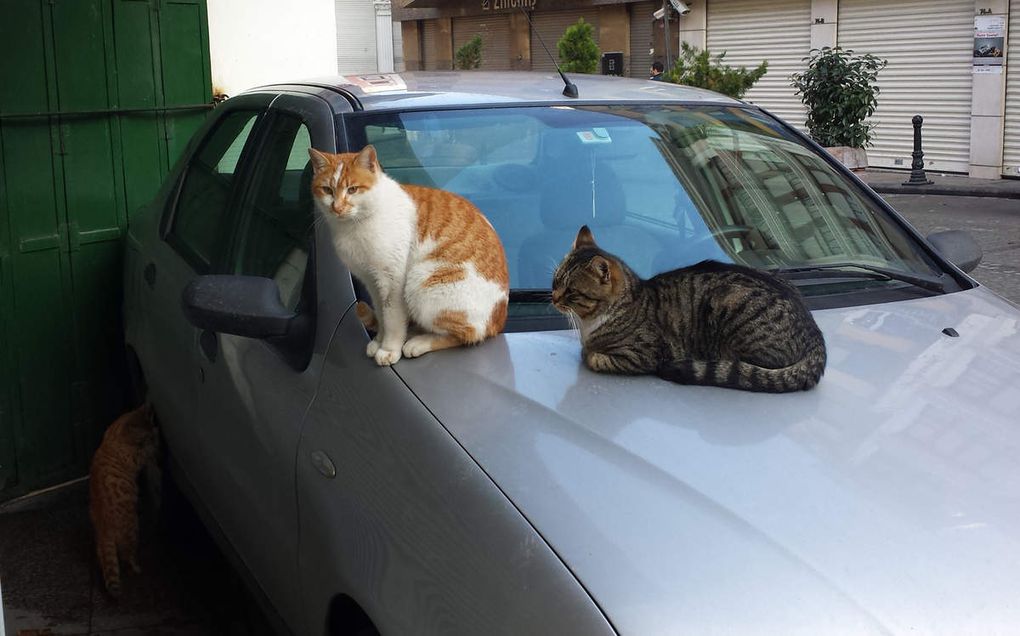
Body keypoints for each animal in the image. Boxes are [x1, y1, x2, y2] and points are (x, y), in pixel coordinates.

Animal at [88, 401, 158, 595]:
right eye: (146, 436)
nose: (153, 434)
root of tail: (104, 528)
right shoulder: (134, 458)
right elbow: (145, 454)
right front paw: (154, 443)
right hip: (133, 529)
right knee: (128, 554)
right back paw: (135, 567)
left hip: (100, 544)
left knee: (102, 557)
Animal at [306, 143, 505, 362]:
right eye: (327, 190)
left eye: (352, 189)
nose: (337, 207)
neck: (353, 225)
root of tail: (499, 321)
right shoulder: (371, 280)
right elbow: (381, 313)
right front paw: (379, 340)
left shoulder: (391, 279)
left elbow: (392, 317)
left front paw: (389, 348)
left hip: (421, 282)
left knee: (469, 334)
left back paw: (419, 342)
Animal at [554, 223, 824, 393]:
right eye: (555, 281)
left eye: (571, 292)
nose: (554, 298)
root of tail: (815, 332)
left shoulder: (643, 355)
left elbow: (593, 357)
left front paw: (590, 353)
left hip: (730, 305)